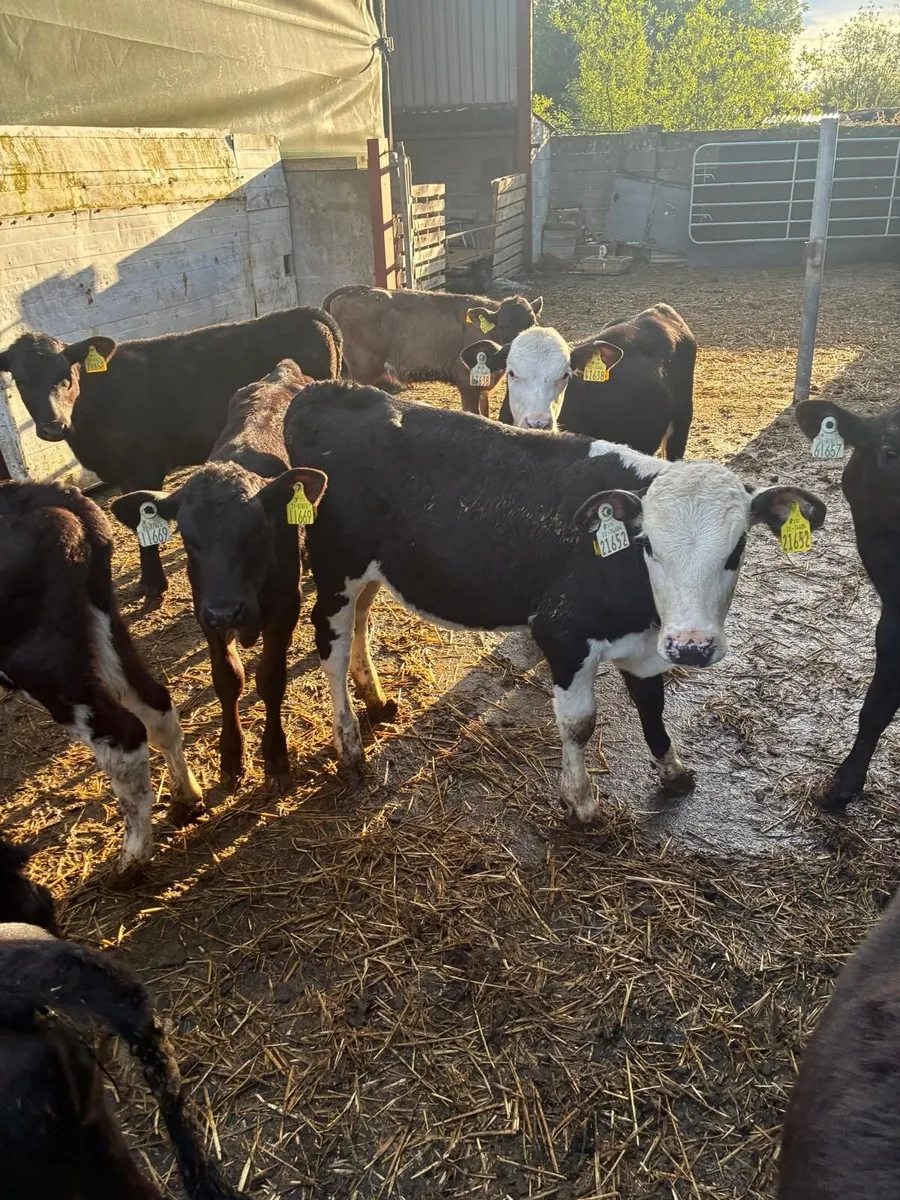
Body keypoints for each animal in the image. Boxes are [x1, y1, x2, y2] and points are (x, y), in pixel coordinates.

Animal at [0, 308, 343, 604]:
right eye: (21, 380)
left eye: (67, 375)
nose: (52, 426)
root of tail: (304, 311)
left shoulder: (142, 468)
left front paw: (153, 584)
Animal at [0, 480, 202, 885]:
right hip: (104, 624)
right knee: (156, 705)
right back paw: (185, 798)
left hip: (45, 664)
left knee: (123, 733)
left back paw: (131, 862)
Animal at [112, 361, 328, 791]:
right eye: (187, 536)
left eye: (258, 530)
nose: (229, 612)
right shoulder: (205, 610)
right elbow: (228, 679)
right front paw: (231, 755)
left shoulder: (285, 606)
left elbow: (270, 678)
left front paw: (275, 753)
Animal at [284, 382, 825, 822]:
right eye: (648, 543)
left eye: (738, 549)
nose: (691, 646)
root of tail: (329, 389)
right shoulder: (562, 633)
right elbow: (578, 723)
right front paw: (581, 802)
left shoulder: (648, 645)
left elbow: (653, 705)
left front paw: (672, 770)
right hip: (335, 563)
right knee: (330, 645)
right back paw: (350, 745)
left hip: (373, 568)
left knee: (361, 621)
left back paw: (376, 699)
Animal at [322, 284, 543, 417]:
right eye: (503, 326)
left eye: (532, 323)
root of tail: (355, 290)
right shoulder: (466, 383)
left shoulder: (483, 389)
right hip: (363, 369)